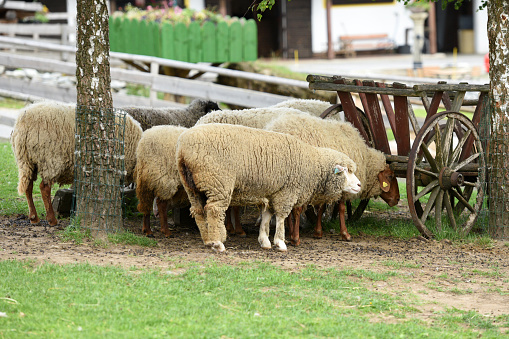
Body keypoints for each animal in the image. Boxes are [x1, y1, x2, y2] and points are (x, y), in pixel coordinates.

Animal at [177, 123, 360, 254]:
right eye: (347, 171)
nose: (359, 185)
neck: (312, 165)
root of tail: (183, 149)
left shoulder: (273, 192)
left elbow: (266, 217)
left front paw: (264, 241)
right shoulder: (287, 191)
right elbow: (281, 217)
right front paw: (280, 242)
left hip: (192, 186)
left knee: (198, 211)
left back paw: (208, 240)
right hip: (218, 182)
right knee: (214, 210)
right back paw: (218, 243)